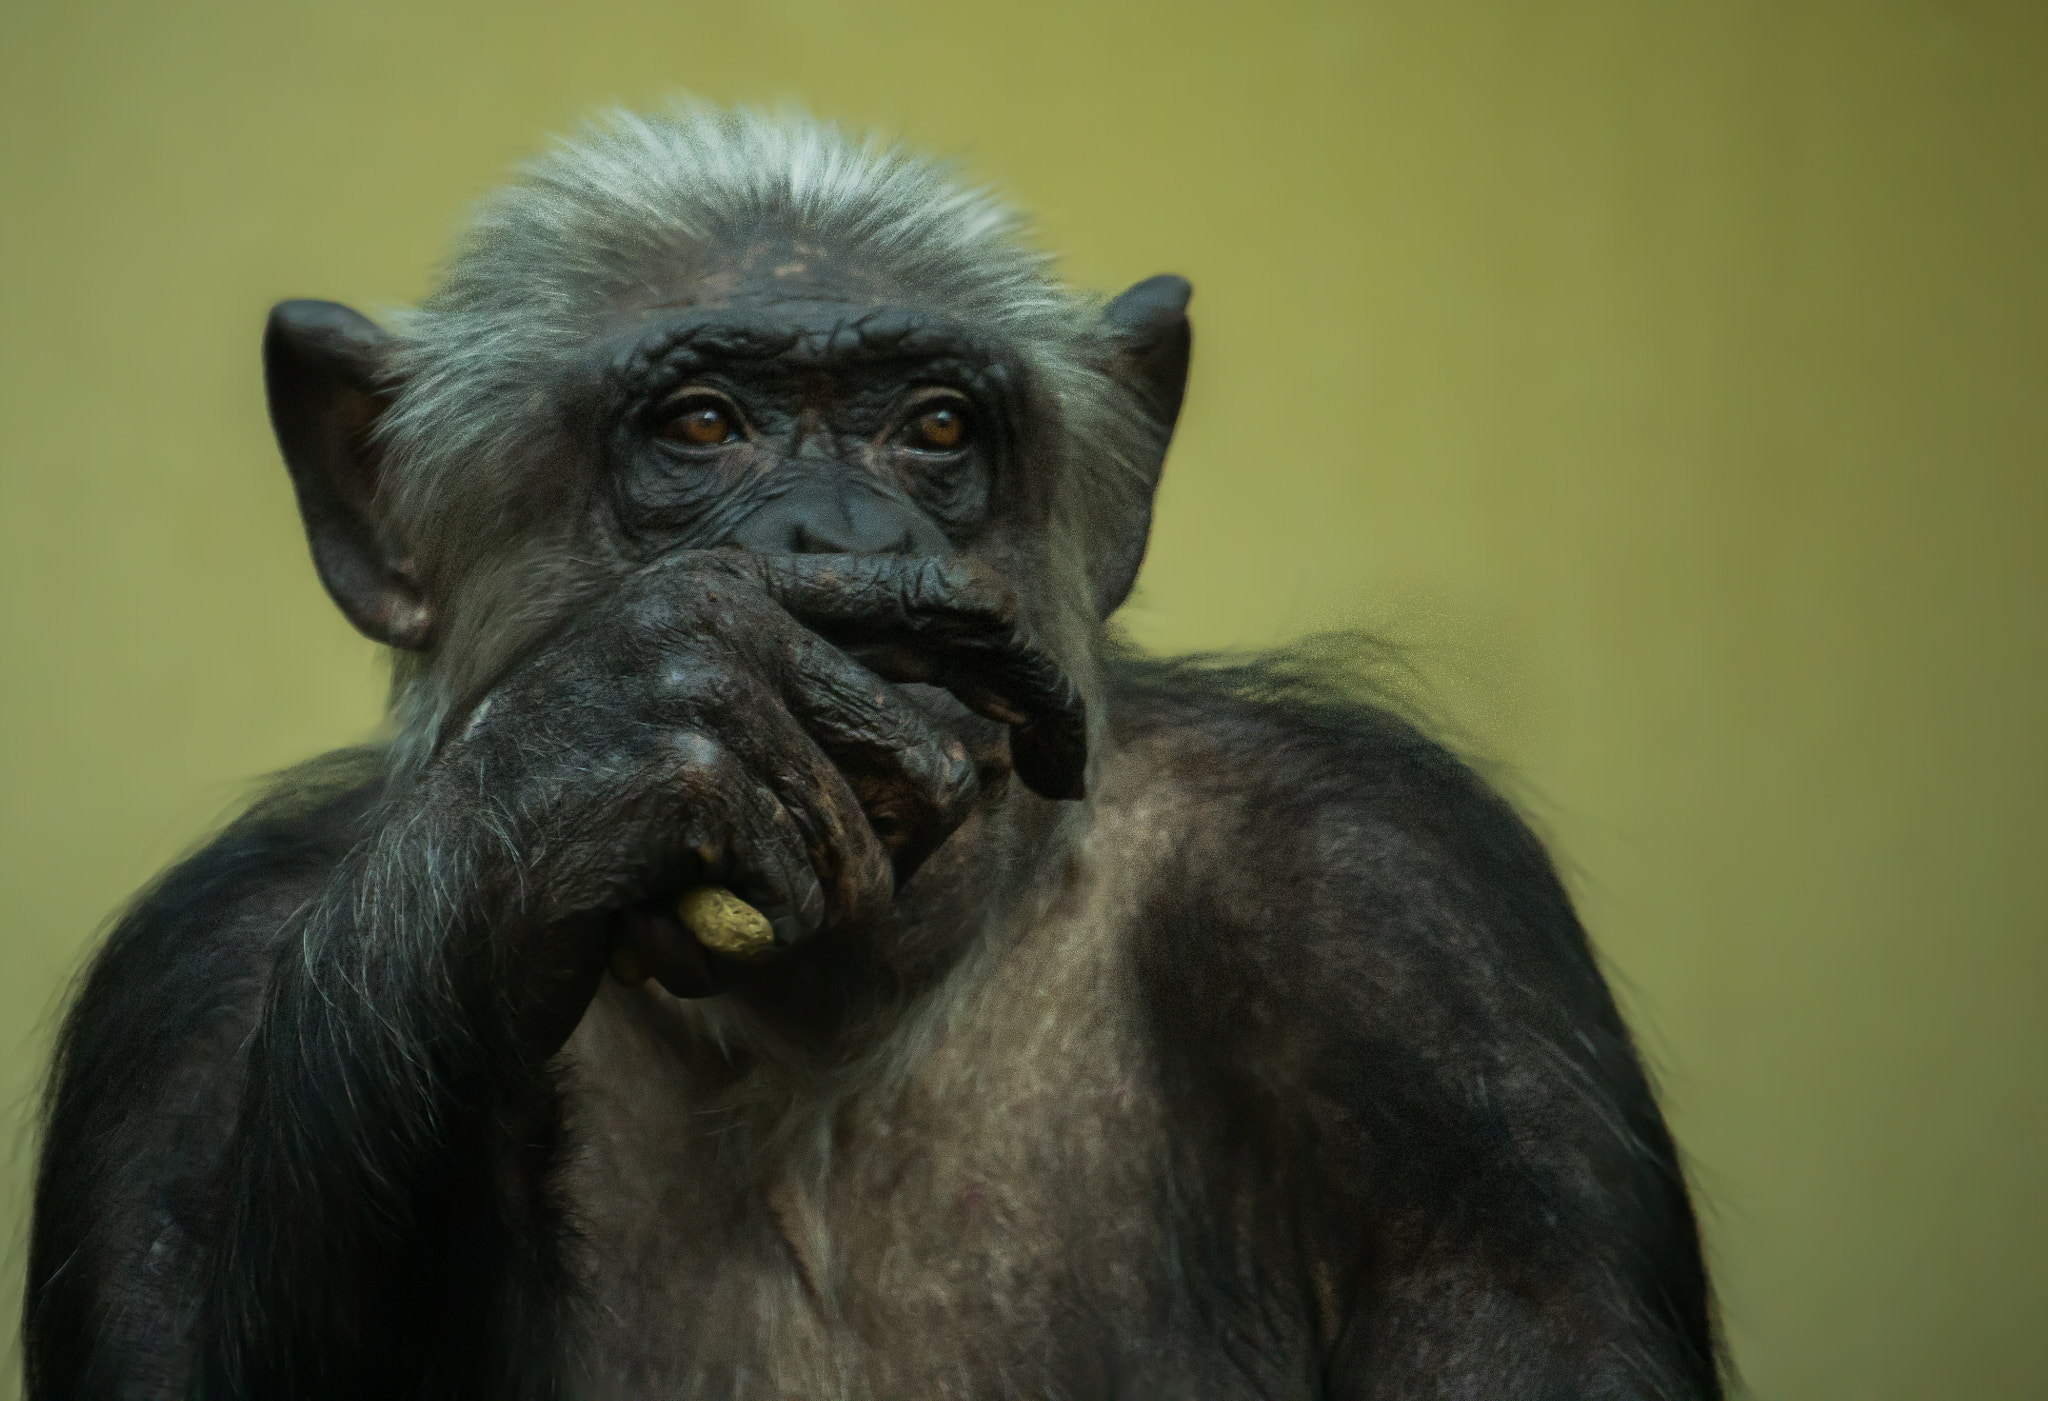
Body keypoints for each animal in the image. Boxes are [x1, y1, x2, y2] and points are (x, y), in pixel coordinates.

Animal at [22, 108, 1722, 1399]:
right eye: (704, 426)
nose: (842, 531)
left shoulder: (1419, 957)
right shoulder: (187, 1009)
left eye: (938, 428)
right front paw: (604, 751)